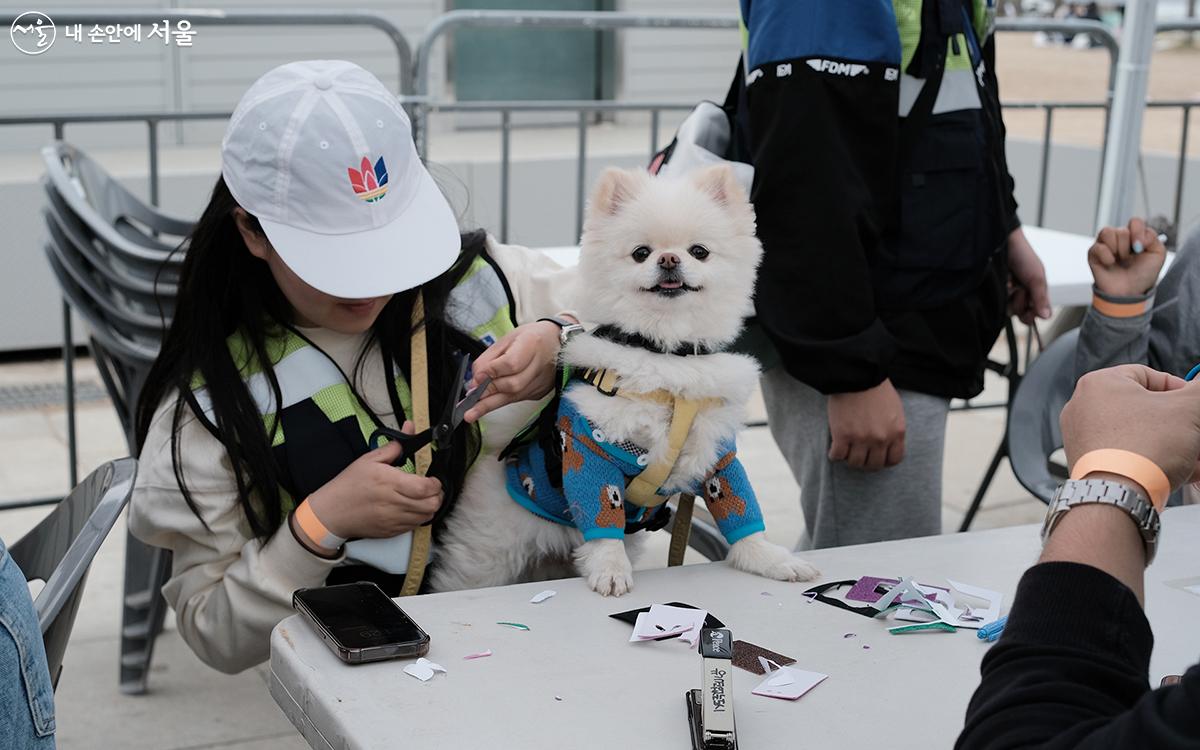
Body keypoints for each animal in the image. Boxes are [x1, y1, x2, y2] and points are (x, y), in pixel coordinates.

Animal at [429, 163, 816, 597]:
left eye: (699, 251)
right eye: (640, 253)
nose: (668, 258)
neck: (666, 353)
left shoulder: (717, 454)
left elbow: (742, 509)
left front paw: (768, 558)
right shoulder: (590, 450)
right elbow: (603, 522)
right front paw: (610, 569)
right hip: (487, 551)